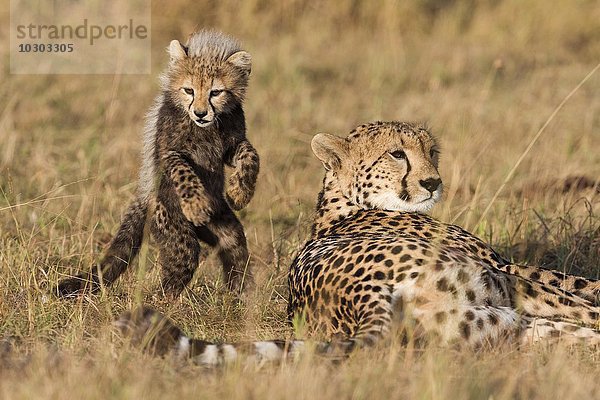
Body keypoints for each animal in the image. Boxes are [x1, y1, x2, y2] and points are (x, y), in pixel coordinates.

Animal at [115, 120, 596, 364]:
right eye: (397, 153)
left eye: (431, 152)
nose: (433, 182)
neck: (347, 201)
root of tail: (356, 294)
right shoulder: (510, 266)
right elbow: (582, 281)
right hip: (503, 287)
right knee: (586, 311)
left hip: (498, 323)